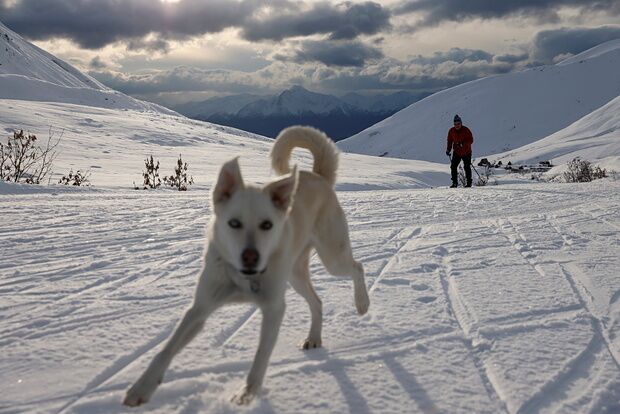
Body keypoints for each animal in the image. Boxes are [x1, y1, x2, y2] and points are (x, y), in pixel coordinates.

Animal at [123, 124, 370, 406]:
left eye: (267, 224)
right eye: (234, 223)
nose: (250, 257)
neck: (243, 279)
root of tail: (318, 176)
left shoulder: (273, 309)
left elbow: (261, 356)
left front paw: (247, 393)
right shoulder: (200, 309)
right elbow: (165, 350)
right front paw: (141, 388)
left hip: (332, 257)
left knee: (357, 267)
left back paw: (362, 304)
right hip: (295, 275)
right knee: (317, 302)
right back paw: (314, 338)